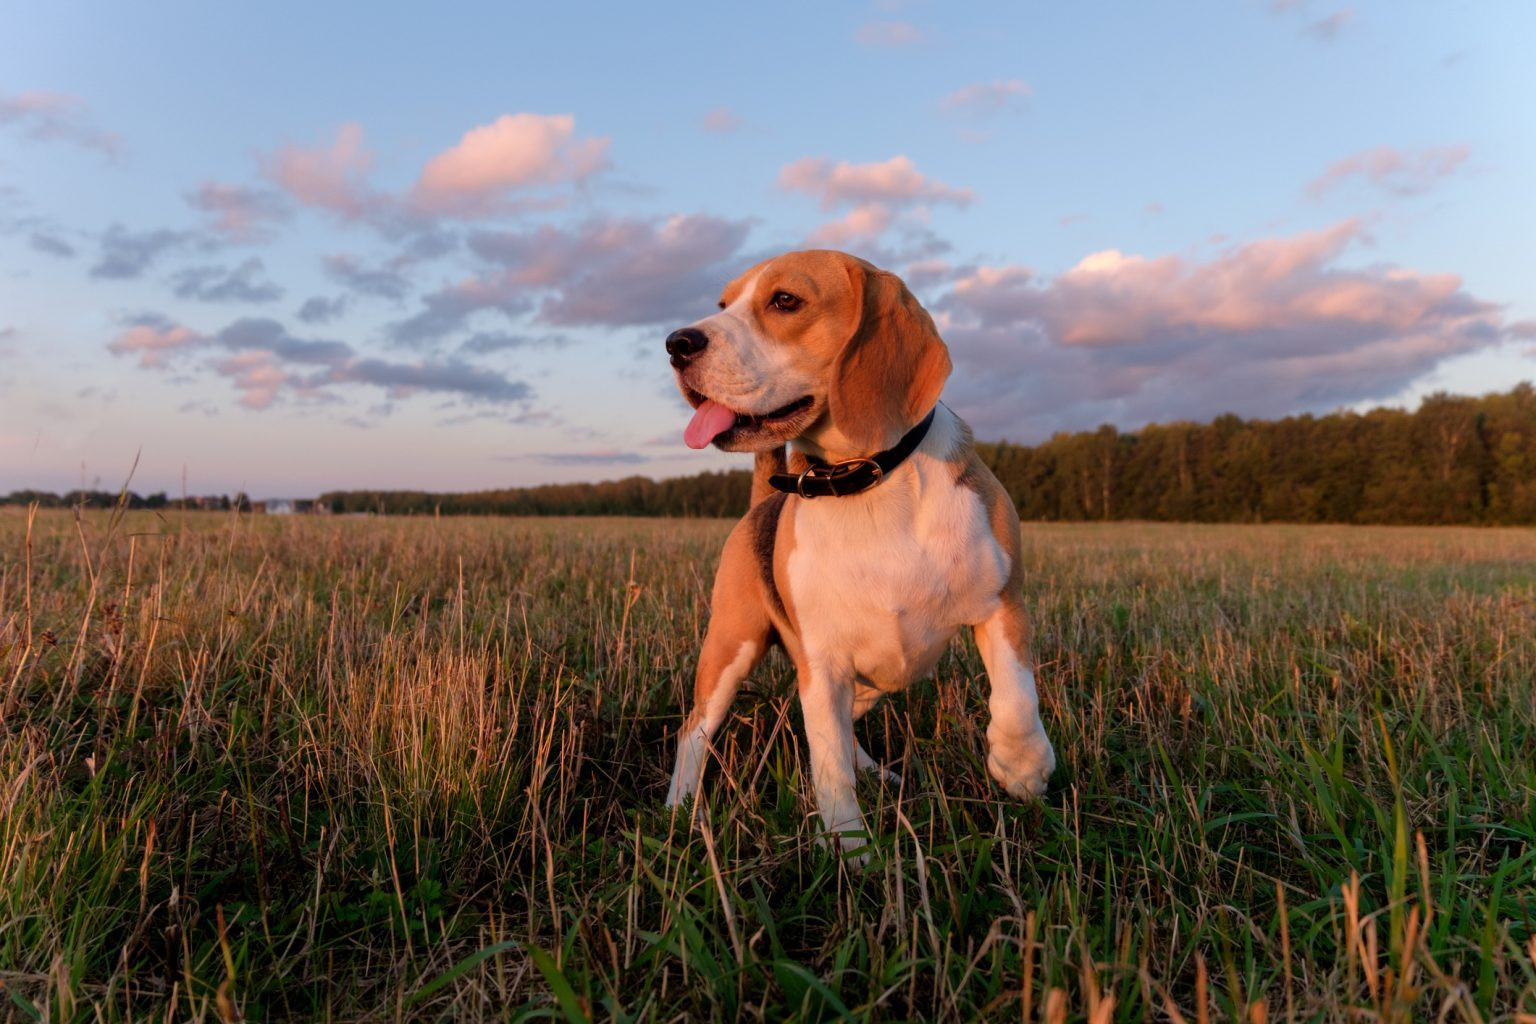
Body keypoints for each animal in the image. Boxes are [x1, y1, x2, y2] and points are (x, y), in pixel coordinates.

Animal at [660, 250, 1056, 859]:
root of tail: (763, 500)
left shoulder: (1003, 603)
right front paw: (850, 849)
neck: (866, 485)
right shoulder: (821, 665)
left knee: (845, 727)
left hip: (870, 681)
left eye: (785, 300)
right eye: (723, 304)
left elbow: (1016, 696)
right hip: (732, 645)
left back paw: (876, 771)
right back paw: (682, 808)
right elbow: (828, 765)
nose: (677, 343)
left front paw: (1022, 766)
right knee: (696, 730)